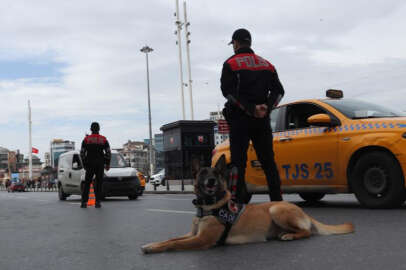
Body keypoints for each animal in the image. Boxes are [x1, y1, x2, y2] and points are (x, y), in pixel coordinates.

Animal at [141, 159, 354, 254]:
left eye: (216, 173)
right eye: (202, 173)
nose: (211, 181)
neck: (210, 206)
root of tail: (303, 211)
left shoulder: (201, 240)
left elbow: (175, 243)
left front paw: (154, 248)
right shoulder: (192, 234)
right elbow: (171, 238)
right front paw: (153, 244)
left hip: (275, 209)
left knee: (307, 232)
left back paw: (290, 236)